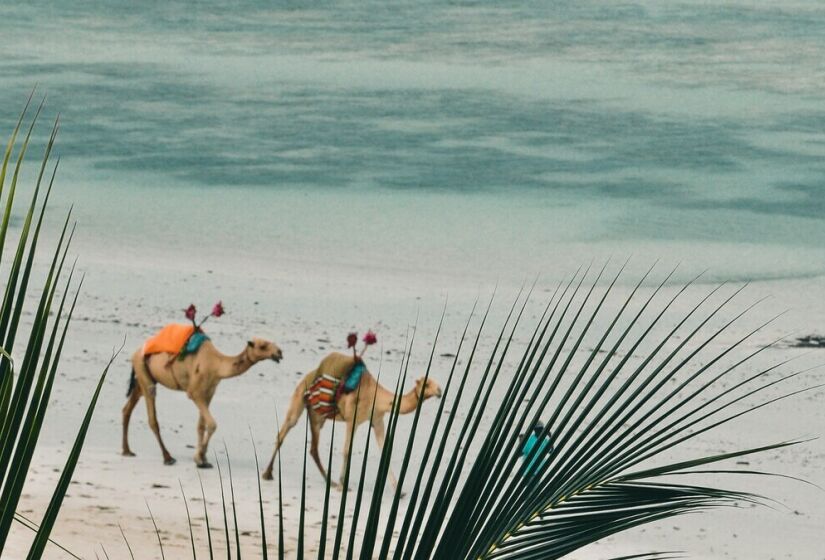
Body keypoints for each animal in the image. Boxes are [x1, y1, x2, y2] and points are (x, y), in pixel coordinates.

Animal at [121, 334, 284, 466]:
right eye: (262, 345)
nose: (279, 352)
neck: (216, 365)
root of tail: (136, 353)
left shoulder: (209, 393)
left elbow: (201, 425)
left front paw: (203, 459)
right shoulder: (195, 392)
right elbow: (212, 424)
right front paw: (199, 458)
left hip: (143, 378)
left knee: (127, 408)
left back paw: (127, 450)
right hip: (144, 373)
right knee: (152, 416)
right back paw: (168, 457)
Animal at [264, 352, 444, 488]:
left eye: (435, 382)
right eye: (426, 384)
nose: (440, 391)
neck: (376, 396)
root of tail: (309, 375)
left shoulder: (377, 420)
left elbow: (385, 452)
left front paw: (398, 491)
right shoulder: (353, 419)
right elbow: (346, 450)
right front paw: (342, 485)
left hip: (317, 416)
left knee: (313, 448)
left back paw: (329, 481)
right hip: (301, 398)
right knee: (286, 431)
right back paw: (267, 473)